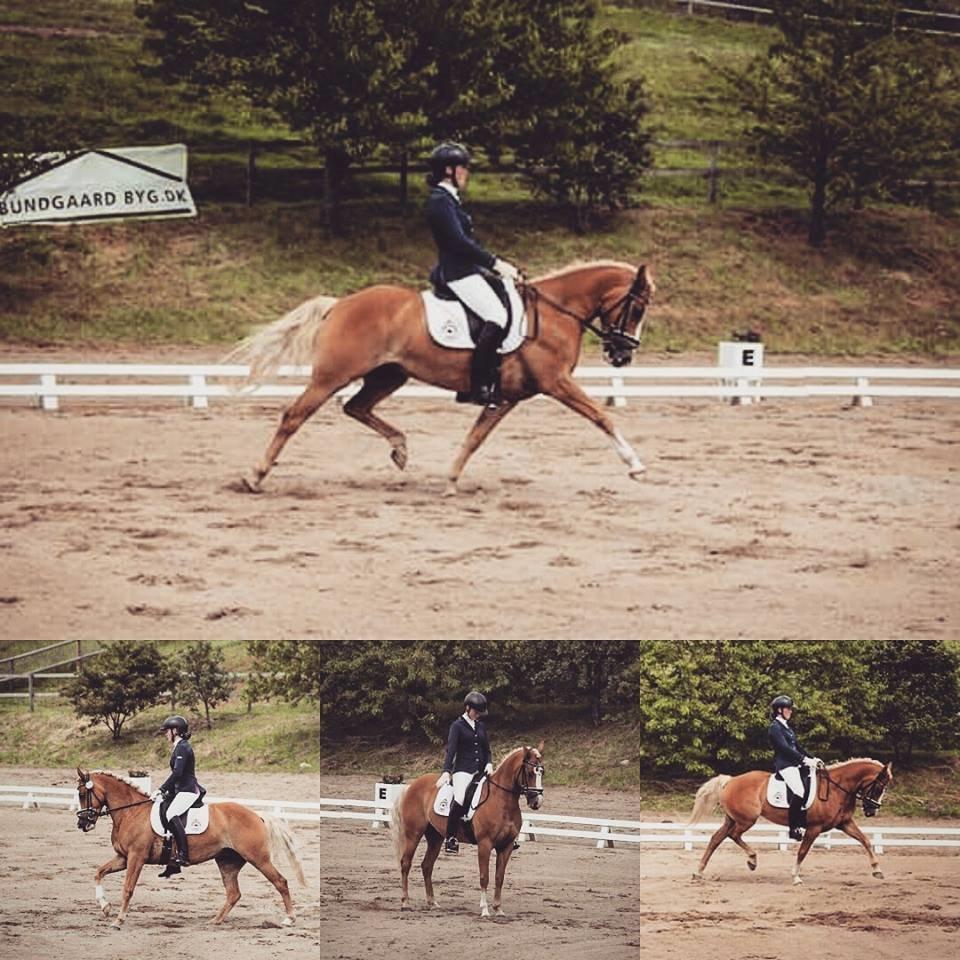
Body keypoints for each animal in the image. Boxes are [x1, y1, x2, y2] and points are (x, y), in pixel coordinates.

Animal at [75, 768, 305, 927]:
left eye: (82, 794)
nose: (82, 824)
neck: (131, 812)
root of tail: (257, 815)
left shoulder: (135, 857)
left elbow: (127, 889)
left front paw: (118, 920)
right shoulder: (123, 857)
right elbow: (98, 873)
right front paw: (105, 907)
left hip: (258, 858)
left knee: (280, 882)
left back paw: (289, 919)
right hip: (227, 861)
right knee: (233, 893)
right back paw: (215, 920)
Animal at [230, 261, 654, 495]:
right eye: (636, 308)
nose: (623, 355)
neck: (556, 312)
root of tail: (340, 303)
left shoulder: (508, 396)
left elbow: (475, 438)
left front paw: (450, 480)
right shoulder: (556, 383)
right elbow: (601, 416)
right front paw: (635, 465)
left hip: (390, 375)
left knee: (356, 407)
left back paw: (400, 449)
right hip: (332, 376)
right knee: (294, 417)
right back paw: (256, 476)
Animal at [391, 745, 544, 918]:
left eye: (542, 772)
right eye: (530, 772)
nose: (537, 802)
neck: (502, 799)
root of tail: (412, 785)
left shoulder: (507, 846)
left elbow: (499, 877)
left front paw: (498, 909)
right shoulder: (485, 844)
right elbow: (484, 876)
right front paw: (484, 910)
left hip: (435, 838)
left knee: (427, 866)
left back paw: (432, 903)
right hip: (413, 834)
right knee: (406, 863)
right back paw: (405, 902)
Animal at [688, 758, 893, 885]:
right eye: (879, 787)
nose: (872, 811)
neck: (837, 788)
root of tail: (730, 780)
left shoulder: (844, 823)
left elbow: (865, 840)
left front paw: (877, 870)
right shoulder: (814, 828)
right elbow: (803, 851)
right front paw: (796, 877)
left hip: (732, 818)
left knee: (717, 838)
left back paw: (699, 872)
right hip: (746, 819)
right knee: (733, 835)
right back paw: (752, 860)